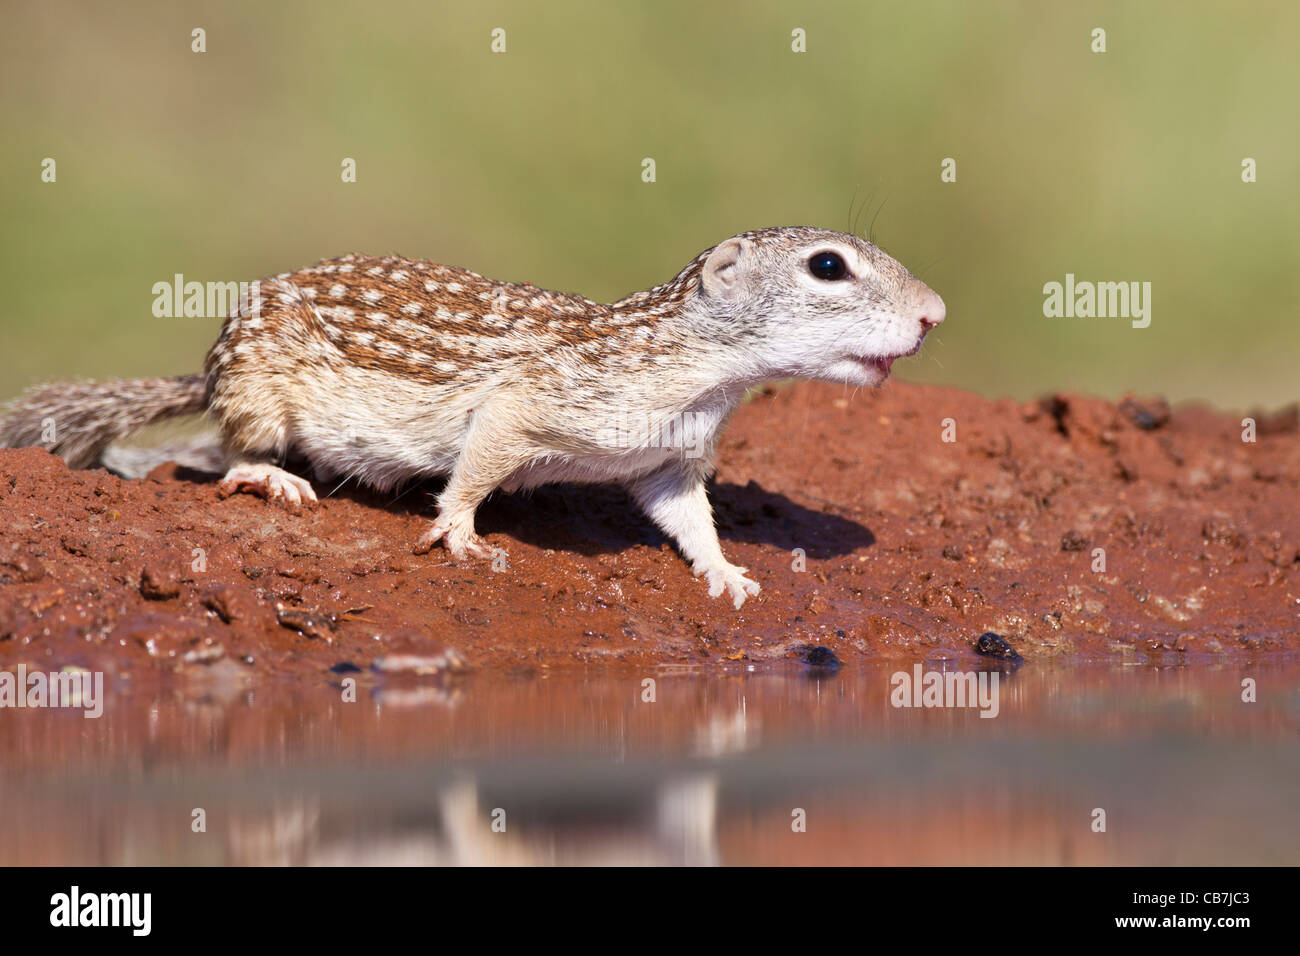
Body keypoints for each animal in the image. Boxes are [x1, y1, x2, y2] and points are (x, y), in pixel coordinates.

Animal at [0, 226, 946, 606]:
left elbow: (685, 517)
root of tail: (208, 368)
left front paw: (725, 572)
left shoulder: (667, 461)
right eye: (829, 266)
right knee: (229, 455)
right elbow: (482, 456)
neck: (699, 374)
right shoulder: (531, 403)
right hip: (261, 398)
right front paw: (458, 528)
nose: (936, 313)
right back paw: (274, 480)